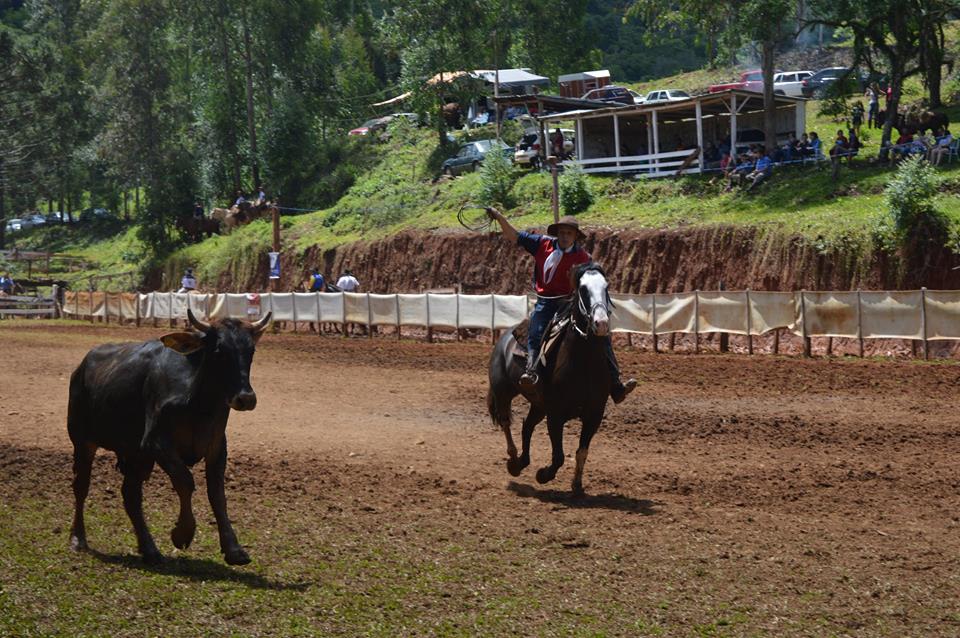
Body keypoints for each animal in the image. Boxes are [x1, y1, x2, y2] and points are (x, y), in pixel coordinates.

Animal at [68, 310, 270, 564]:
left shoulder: (216, 448)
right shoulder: (156, 443)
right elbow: (185, 480)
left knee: (130, 495)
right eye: (218, 350)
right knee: (81, 487)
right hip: (83, 442)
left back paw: (149, 548)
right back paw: (78, 539)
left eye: (250, 350)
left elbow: (217, 495)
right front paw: (182, 533)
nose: (245, 398)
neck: (198, 406)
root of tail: (81, 368)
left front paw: (233, 549)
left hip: (137, 457)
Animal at [488, 262, 616, 498]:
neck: (583, 363)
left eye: (606, 286)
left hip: (539, 406)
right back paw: (513, 461)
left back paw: (522, 462)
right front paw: (543, 474)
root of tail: (505, 336)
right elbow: (559, 456)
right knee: (505, 422)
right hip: (503, 392)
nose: (601, 323)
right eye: (583, 289)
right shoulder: (555, 415)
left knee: (526, 427)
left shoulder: (593, 415)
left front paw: (577, 486)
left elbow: (581, 452)